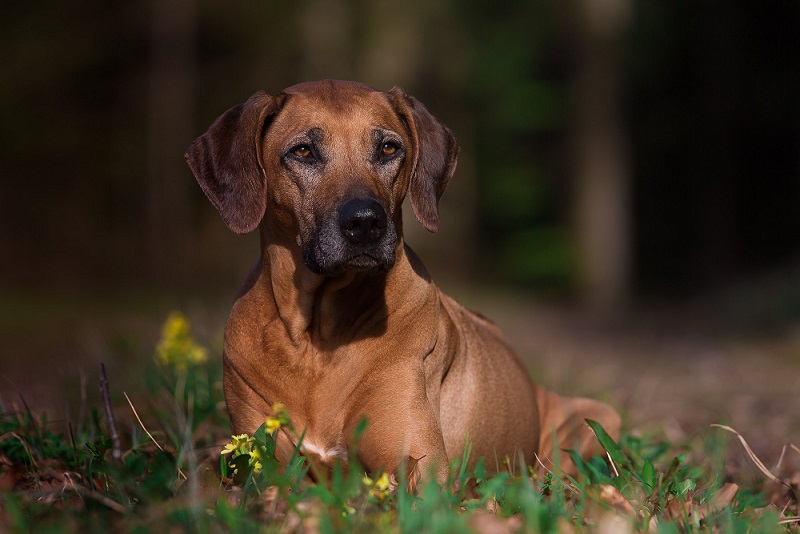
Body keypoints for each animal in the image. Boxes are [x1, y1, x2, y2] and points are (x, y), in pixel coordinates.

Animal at [186, 80, 620, 490]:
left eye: (389, 148)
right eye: (303, 151)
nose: (365, 222)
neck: (317, 340)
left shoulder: (424, 466)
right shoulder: (256, 456)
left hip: (598, 415)